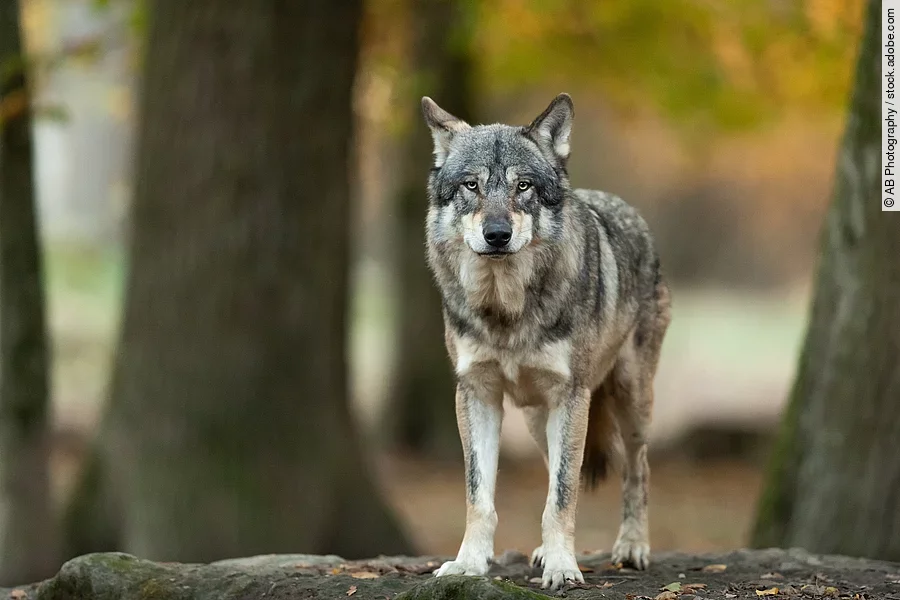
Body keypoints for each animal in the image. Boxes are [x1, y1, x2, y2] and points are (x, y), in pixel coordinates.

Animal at [421, 93, 671, 590]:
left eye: (523, 187)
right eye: (471, 186)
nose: (497, 235)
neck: (506, 311)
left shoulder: (570, 396)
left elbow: (563, 493)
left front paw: (563, 567)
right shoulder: (476, 394)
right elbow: (480, 496)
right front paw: (469, 562)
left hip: (630, 401)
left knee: (638, 468)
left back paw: (632, 547)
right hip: (539, 419)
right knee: (556, 465)